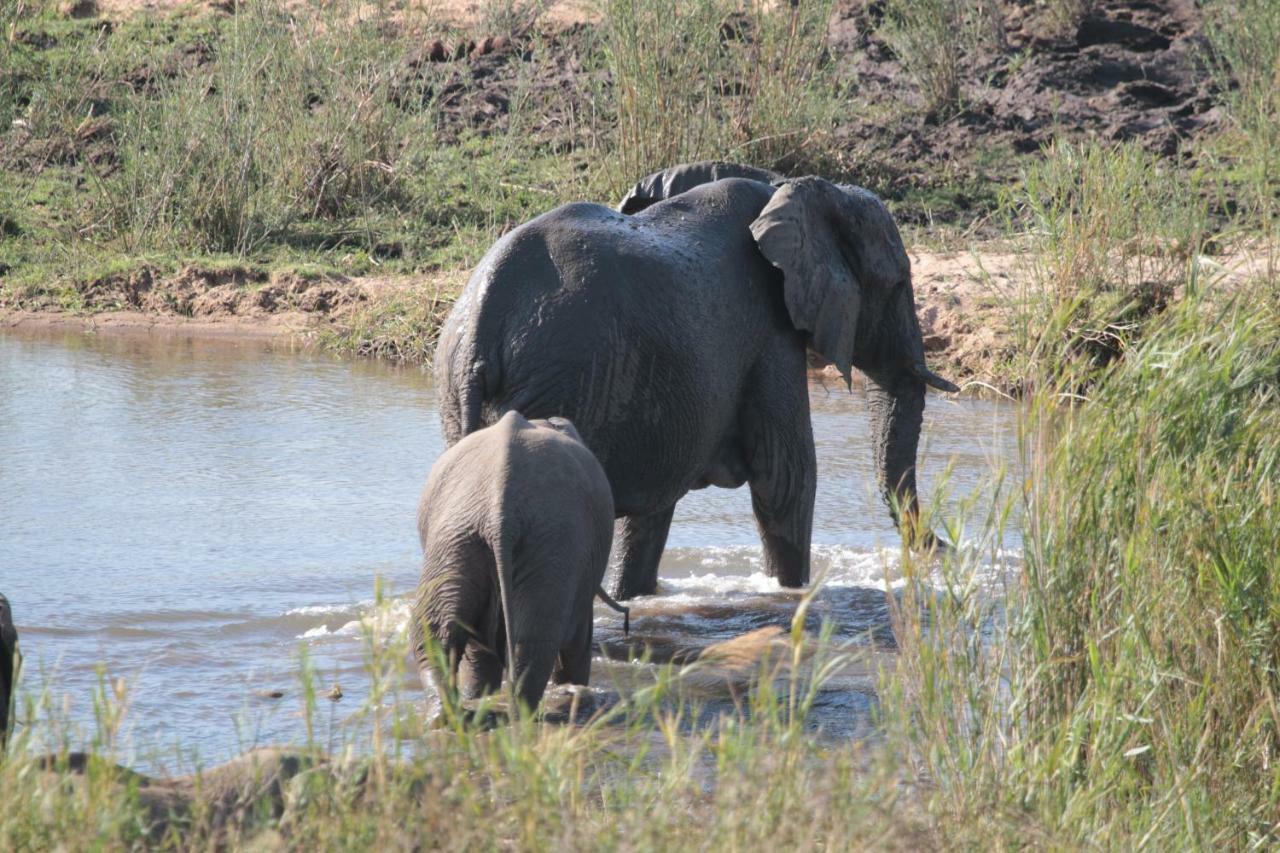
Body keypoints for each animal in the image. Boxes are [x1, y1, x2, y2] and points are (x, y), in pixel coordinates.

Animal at [412, 409, 622, 712]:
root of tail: (501, 514)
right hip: (543, 544)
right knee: (534, 641)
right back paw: (517, 713)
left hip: (458, 542)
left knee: (437, 635)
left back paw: (453, 714)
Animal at [435, 161, 957, 596]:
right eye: (897, 282)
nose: (949, 548)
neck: (788, 187)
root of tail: (481, 322)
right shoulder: (769, 330)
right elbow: (785, 476)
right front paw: (792, 597)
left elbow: (651, 510)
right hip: (563, 379)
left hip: (467, 388)